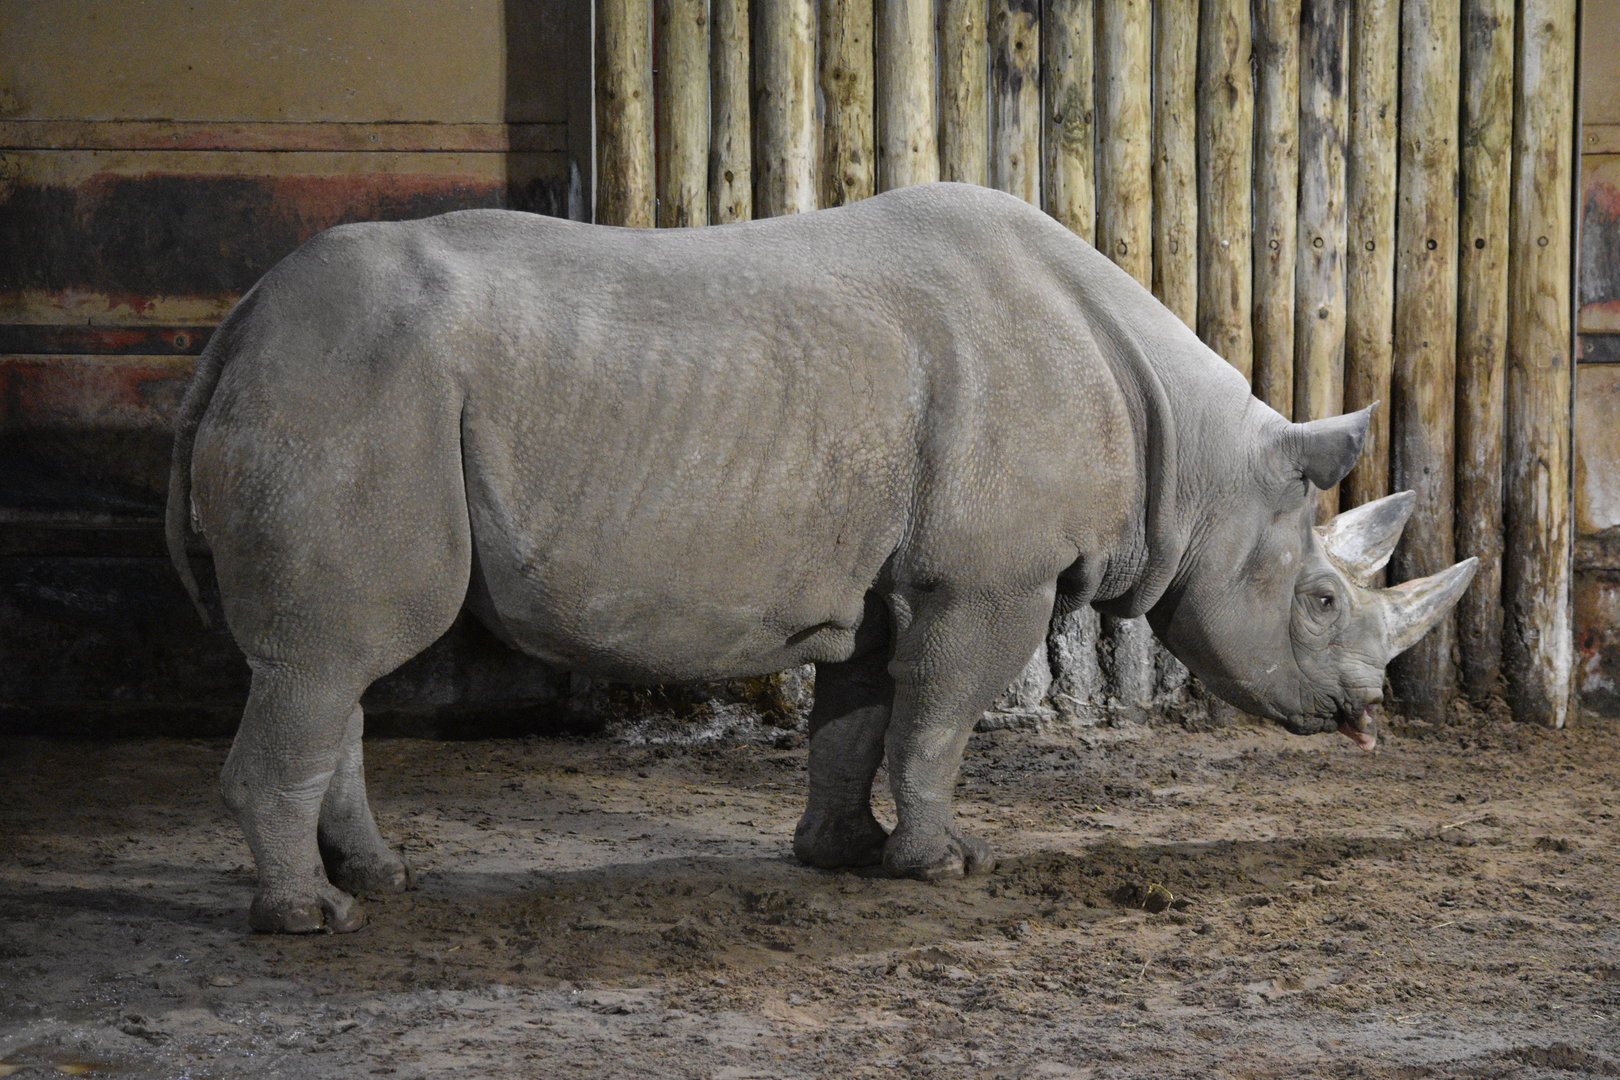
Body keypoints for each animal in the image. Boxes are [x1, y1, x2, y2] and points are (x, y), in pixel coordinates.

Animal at [165, 183, 1475, 933]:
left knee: (333, 662)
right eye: (1321, 600)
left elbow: (856, 718)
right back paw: (310, 922)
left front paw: (841, 858)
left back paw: (378, 886)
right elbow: (940, 717)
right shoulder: (986, 580)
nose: (1366, 712)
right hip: (349, 391)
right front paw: (941, 868)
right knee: (335, 654)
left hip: (341, 384)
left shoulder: (890, 578)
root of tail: (237, 327)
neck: (1194, 460)